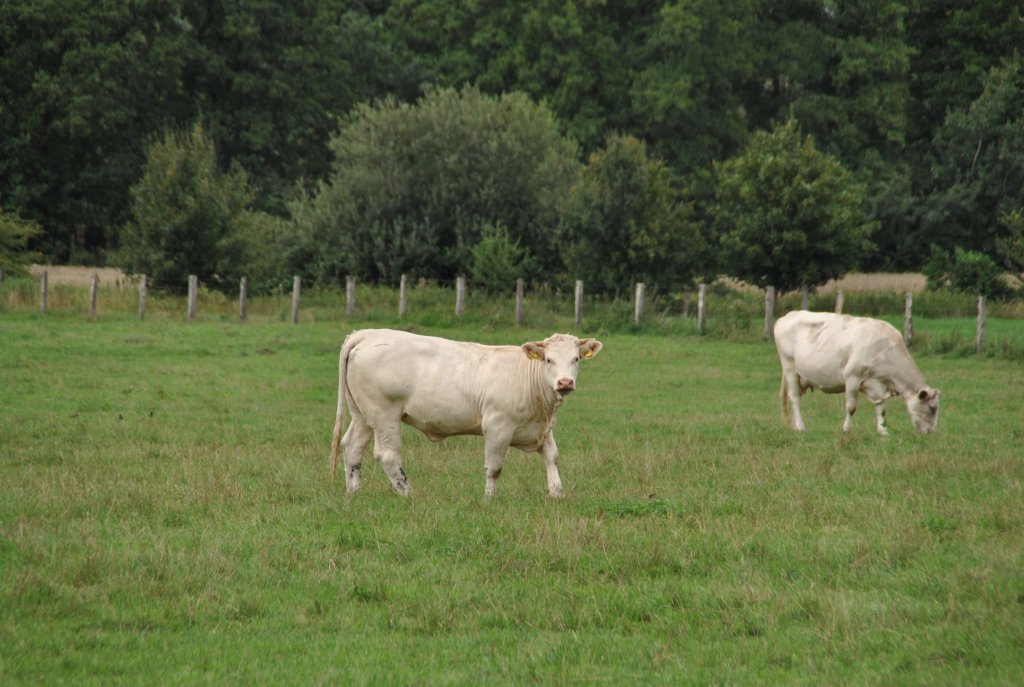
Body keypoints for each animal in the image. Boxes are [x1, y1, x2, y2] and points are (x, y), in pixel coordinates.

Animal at [329, 329, 598, 497]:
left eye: (575, 359)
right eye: (549, 360)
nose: (565, 382)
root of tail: (368, 334)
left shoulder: (542, 428)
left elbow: (552, 457)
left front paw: (556, 493)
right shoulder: (498, 426)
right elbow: (494, 467)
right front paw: (489, 500)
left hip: (362, 415)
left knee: (352, 447)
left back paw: (354, 492)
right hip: (384, 414)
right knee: (388, 455)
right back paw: (409, 494)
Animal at [770, 311, 937, 436]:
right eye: (932, 408)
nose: (931, 432)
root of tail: (787, 316)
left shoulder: (878, 384)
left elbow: (881, 408)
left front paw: (883, 431)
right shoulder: (852, 377)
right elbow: (851, 407)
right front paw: (846, 429)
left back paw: (794, 425)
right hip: (790, 368)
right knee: (795, 398)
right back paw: (801, 427)